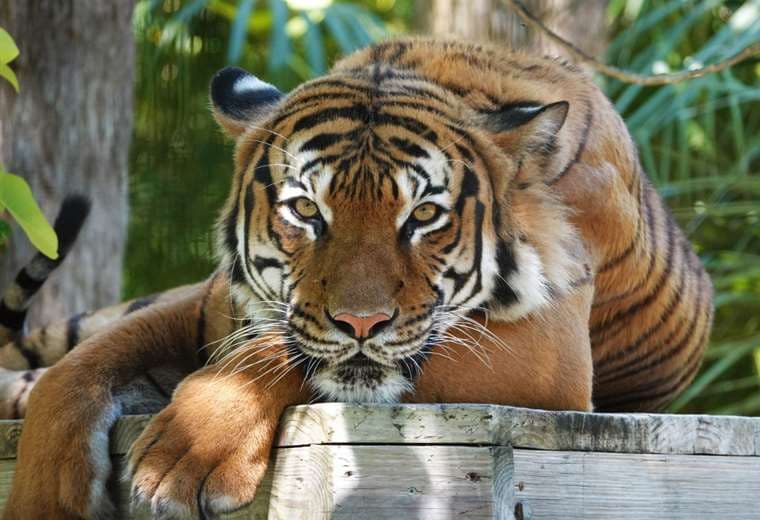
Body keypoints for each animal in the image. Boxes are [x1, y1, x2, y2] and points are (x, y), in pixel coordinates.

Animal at [3, 37, 712, 519]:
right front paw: (43, 497)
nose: (361, 323)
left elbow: (273, 354)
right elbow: (77, 372)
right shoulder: (208, 306)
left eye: (423, 215)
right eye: (305, 210)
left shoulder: (550, 354)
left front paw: (186, 453)